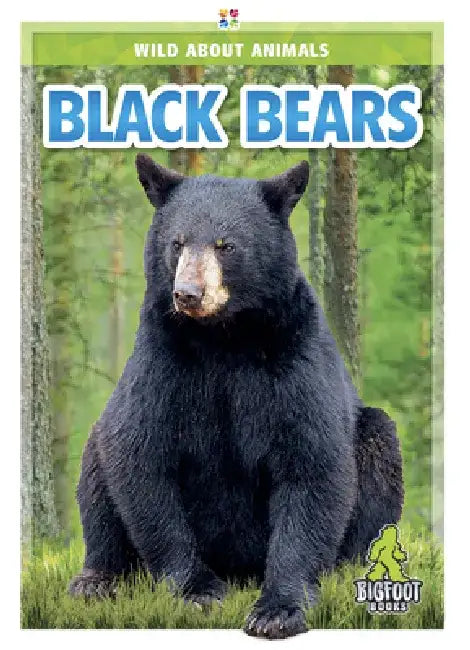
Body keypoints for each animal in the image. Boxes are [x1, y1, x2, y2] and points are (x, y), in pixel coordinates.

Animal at [69, 155, 403, 639]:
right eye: (177, 243)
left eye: (225, 245)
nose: (187, 294)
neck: (225, 337)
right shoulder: (163, 360)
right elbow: (141, 457)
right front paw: (199, 591)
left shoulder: (293, 357)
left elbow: (310, 464)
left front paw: (278, 610)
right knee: (97, 466)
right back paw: (97, 579)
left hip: (370, 440)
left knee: (379, 449)